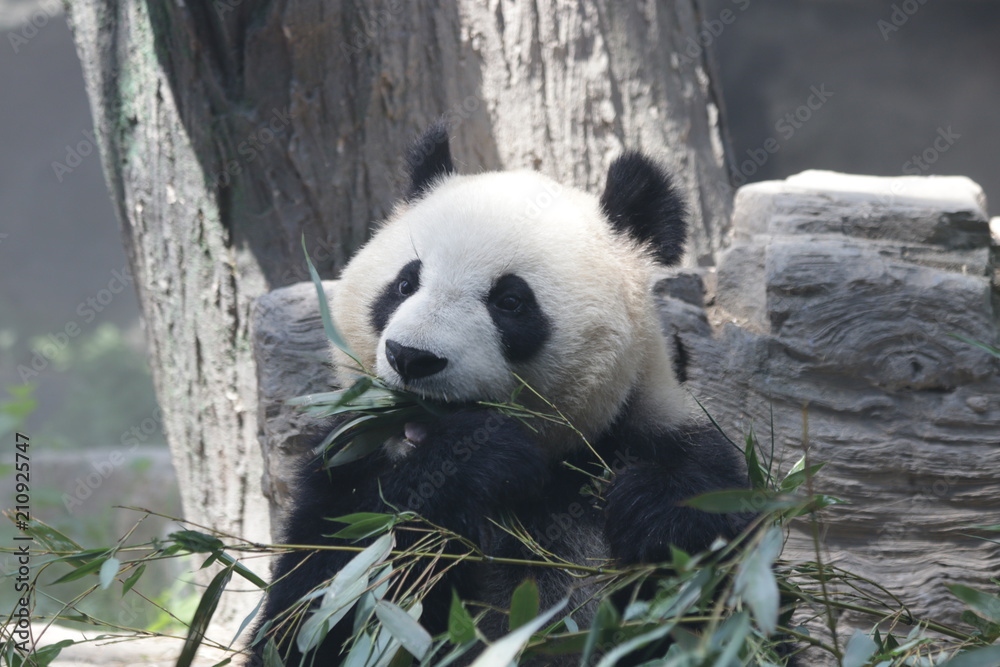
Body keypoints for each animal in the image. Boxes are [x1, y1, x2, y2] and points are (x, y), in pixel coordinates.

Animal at [248, 123, 751, 665]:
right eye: (404, 284)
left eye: (510, 301)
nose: (412, 357)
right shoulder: (344, 467)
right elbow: (320, 604)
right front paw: (474, 463)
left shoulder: (670, 440)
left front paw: (652, 509)